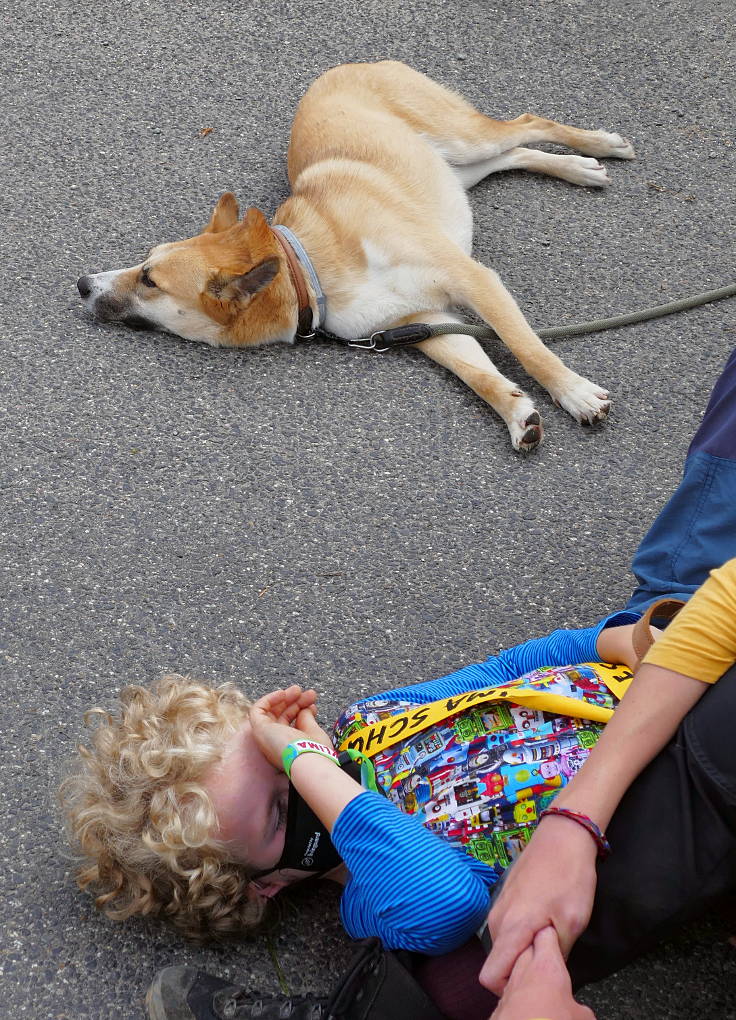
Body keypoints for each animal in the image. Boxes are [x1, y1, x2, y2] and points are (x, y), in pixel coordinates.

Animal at [77, 60, 632, 446]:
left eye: (149, 279)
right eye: (144, 266)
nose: (82, 284)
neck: (310, 269)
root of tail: (343, 66)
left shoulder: (475, 281)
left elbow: (529, 350)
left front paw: (573, 393)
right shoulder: (425, 322)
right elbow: (478, 373)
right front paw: (518, 414)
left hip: (463, 139)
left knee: (526, 124)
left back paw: (597, 146)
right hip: (459, 170)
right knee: (515, 153)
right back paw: (579, 168)